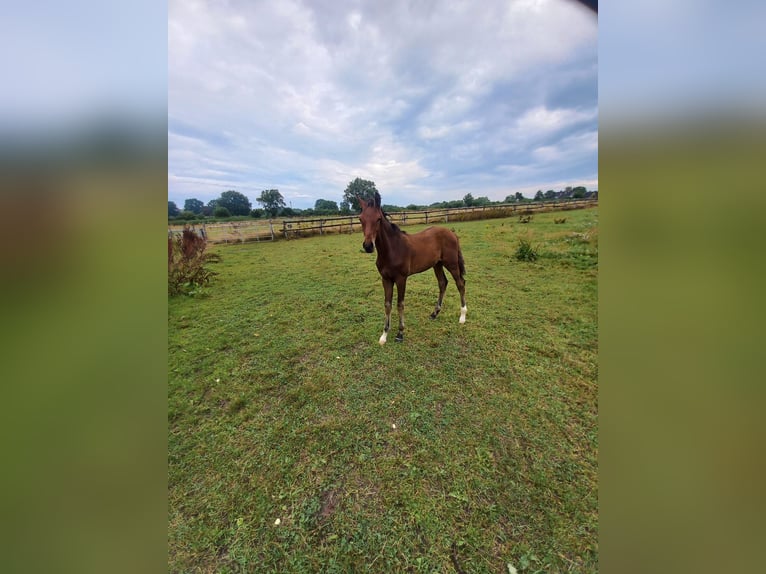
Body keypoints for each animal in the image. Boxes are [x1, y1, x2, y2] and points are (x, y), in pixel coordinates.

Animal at [358, 192, 467, 344]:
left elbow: (400, 304)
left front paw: (400, 333)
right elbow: (387, 304)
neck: (392, 249)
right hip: (437, 265)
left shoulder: (401, 279)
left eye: (378, 219)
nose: (368, 246)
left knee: (460, 283)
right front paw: (384, 335)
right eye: (360, 219)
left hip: (451, 263)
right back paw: (434, 313)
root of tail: (452, 233)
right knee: (443, 283)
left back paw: (462, 317)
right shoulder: (386, 279)